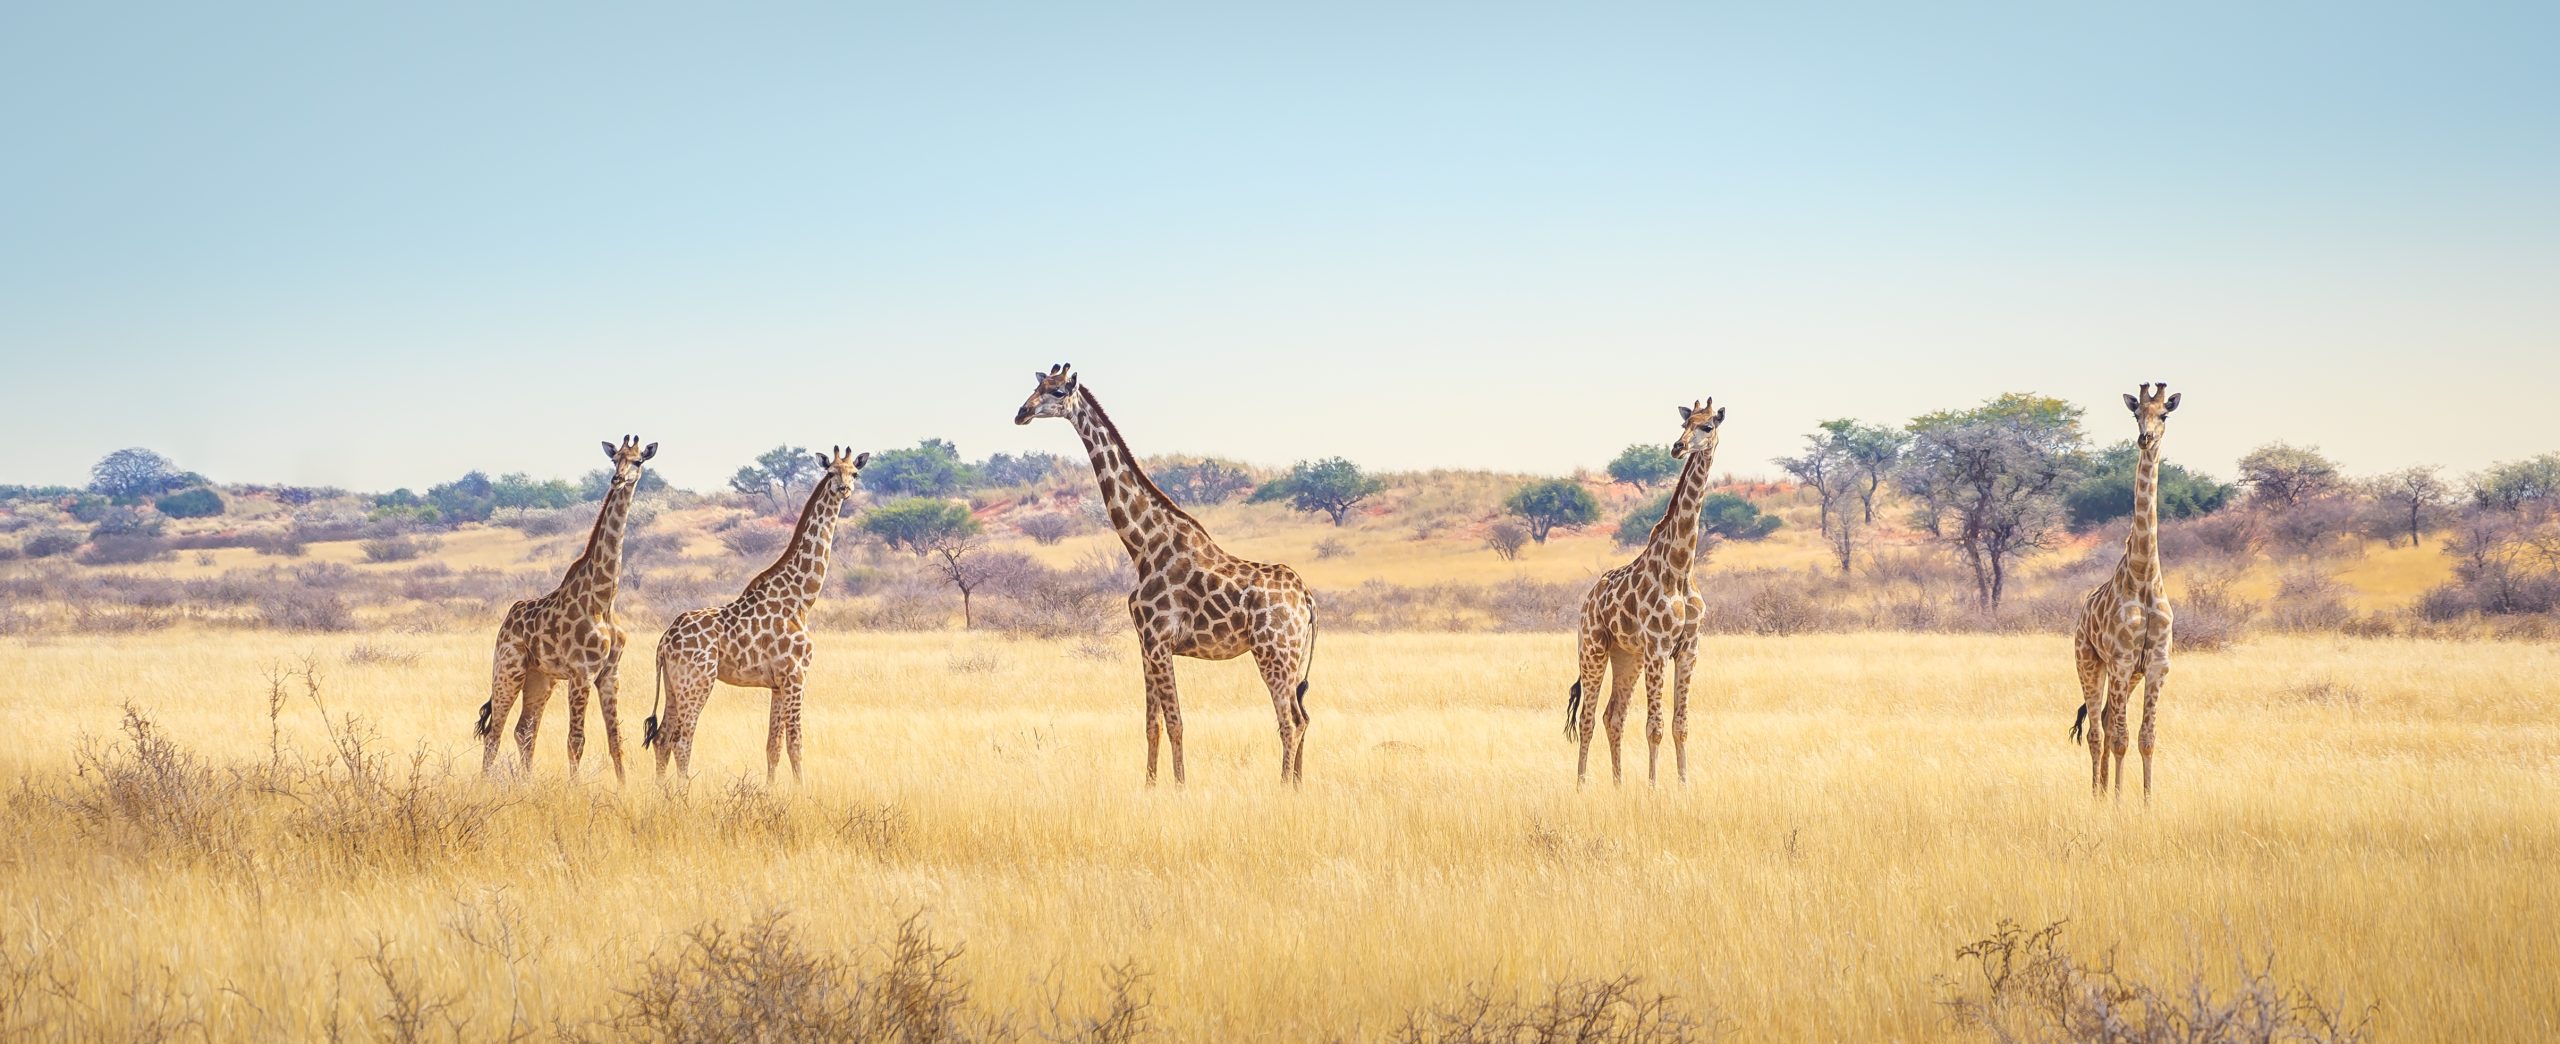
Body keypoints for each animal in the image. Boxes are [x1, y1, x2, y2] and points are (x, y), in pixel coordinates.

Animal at [481, 435, 655, 783]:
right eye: (614, 458)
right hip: (508, 669)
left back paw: (527, 785)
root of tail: (507, 619)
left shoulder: (610, 674)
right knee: (494, 732)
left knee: (524, 730)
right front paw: (575, 788)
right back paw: (484, 785)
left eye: (638, 460)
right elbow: (576, 739)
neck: (604, 599)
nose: (618, 479)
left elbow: (616, 739)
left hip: (540, 677)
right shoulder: (582, 673)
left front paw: (624, 787)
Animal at [645, 445, 865, 777]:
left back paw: (661, 791)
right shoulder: (796, 676)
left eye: (854, 472)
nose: (844, 489)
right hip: (697, 681)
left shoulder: (777, 684)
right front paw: (801, 790)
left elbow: (772, 748)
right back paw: (684, 791)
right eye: (830, 472)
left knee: (662, 740)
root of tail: (664, 642)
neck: (801, 599)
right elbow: (796, 746)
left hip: (673, 685)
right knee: (682, 741)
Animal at [1008, 365, 1320, 783]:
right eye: (1036, 386)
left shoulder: (1159, 640)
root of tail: (1306, 598)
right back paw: (1299, 785)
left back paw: (1283, 787)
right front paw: (1149, 786)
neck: (1144, 545)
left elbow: (1175, 722)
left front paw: (1180, 786)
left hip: (1274, 651)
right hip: (1292, 655)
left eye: (1057, 392)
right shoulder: (1144, 642)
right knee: (1304, 716)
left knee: (1290, 721)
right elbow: (1151, 723)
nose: (1021, 413)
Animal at [1556, 399, 1720, 783]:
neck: (1681, 567)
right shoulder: (1658, 648)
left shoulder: (1689, 648)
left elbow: (1680, 725)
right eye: (1684, 423)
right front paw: (1653, 787)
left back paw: (1618, 786)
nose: (1677, 447)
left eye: (1707, 426)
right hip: (1593, 648)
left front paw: (1683, 785)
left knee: (1612, 716)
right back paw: (1581, 785)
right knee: (1587, 718)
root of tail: (1588, 600)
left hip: (1626, 656)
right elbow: (1654, 726)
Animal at [2058, 383, 2181, 798]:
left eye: (2164, 414)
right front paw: (2117, 802)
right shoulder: (2122, 660)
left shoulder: (2157, 664)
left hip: (2126, 675)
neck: (2144, 575)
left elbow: (2146, 738)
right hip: (2089, 661)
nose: (2145, 438)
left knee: (2108, 722)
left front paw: (2146, 801)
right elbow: (2121, 738)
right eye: (2135, 413)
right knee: (2098, 732)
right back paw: (2097, 796)